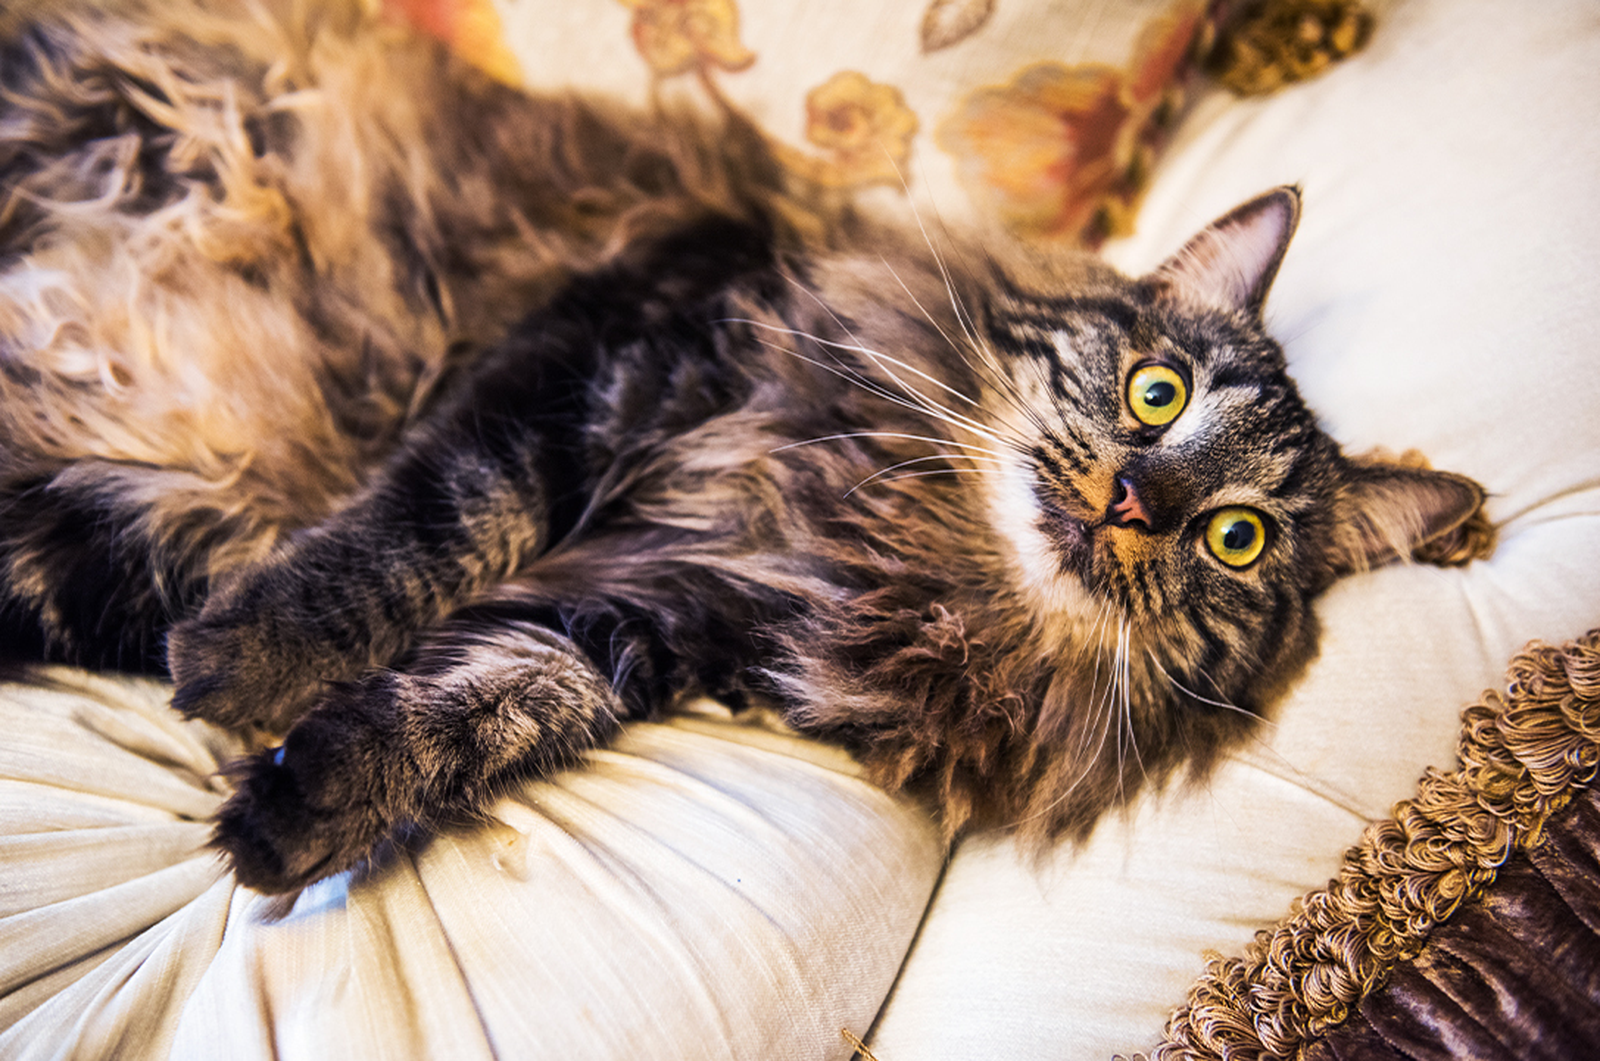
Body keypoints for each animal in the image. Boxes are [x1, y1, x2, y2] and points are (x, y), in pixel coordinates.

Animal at [0, 0, 1484, 896]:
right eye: (1159, 394)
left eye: (1233, 537)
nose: (1129, 497)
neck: (896, 542)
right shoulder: (610, 344)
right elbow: (436, 529)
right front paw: (244, 663)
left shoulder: (656, 621)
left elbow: (495, 695)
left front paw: (289, 812)